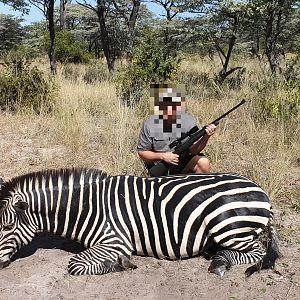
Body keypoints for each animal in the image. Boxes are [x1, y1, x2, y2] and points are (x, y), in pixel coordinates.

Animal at [0, 168, 282, 276]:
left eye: (6, 227)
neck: (89, 207)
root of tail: (261, 190)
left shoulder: (114, 240)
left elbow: (75, 265)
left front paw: (120, 264)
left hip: (228, 226)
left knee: (256, 252)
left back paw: (221, 262)